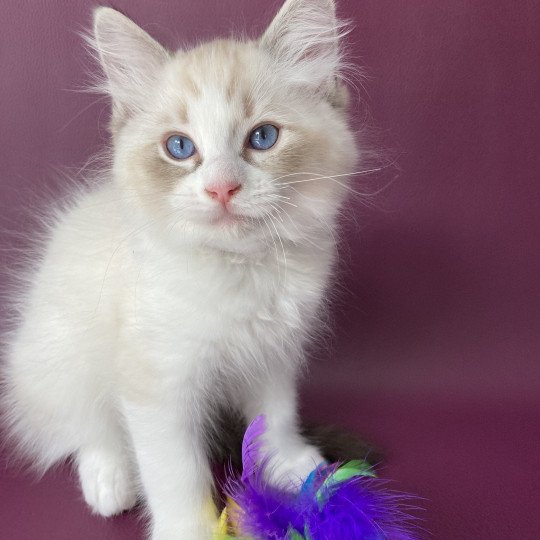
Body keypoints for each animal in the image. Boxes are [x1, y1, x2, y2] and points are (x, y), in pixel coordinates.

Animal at [3, 2, 358, 536]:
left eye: (263, 137)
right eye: (179, 148)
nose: (222, 189)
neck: (239, 268)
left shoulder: (273, 352)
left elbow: (275, 417)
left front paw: (290, 466)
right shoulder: (158, 383)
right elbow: (176, 473)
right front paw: (190, 528)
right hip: (59, 357)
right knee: (84, 428)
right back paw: (110, 481)